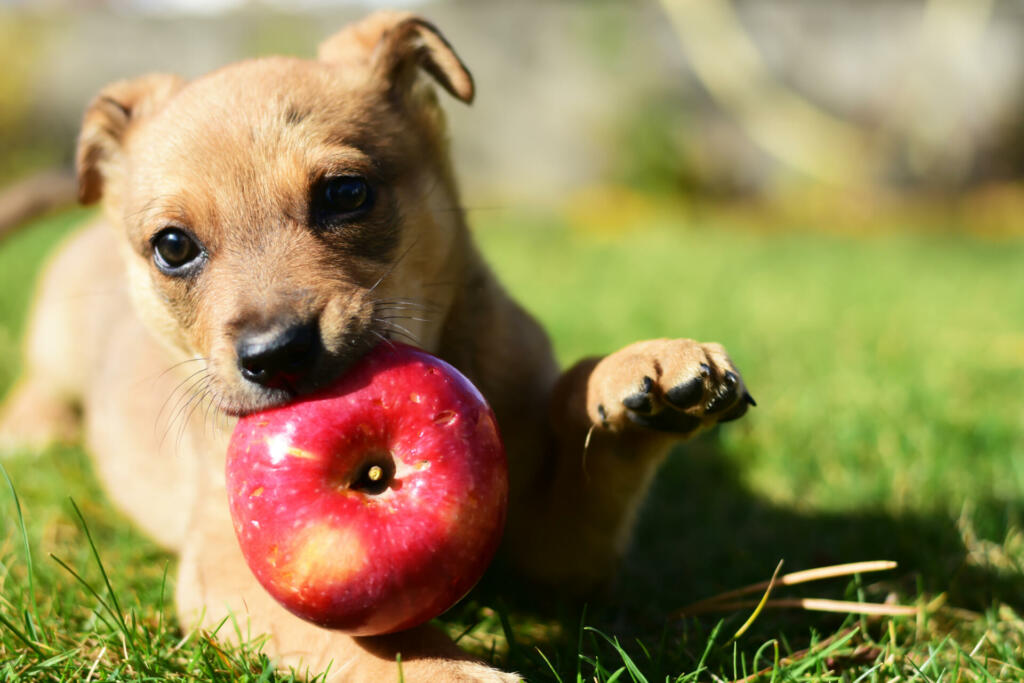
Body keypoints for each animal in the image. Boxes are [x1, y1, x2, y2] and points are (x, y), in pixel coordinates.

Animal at [0, 12, 753, 683]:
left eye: (345, 193)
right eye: (173, 246)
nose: (276, 354)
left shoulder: (555, 550)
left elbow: (583, 442)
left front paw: (641, 375)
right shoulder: (229, 572)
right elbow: (369, 644)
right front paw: (451, 674)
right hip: (57, 336)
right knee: (37, 384)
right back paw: (36, 430)